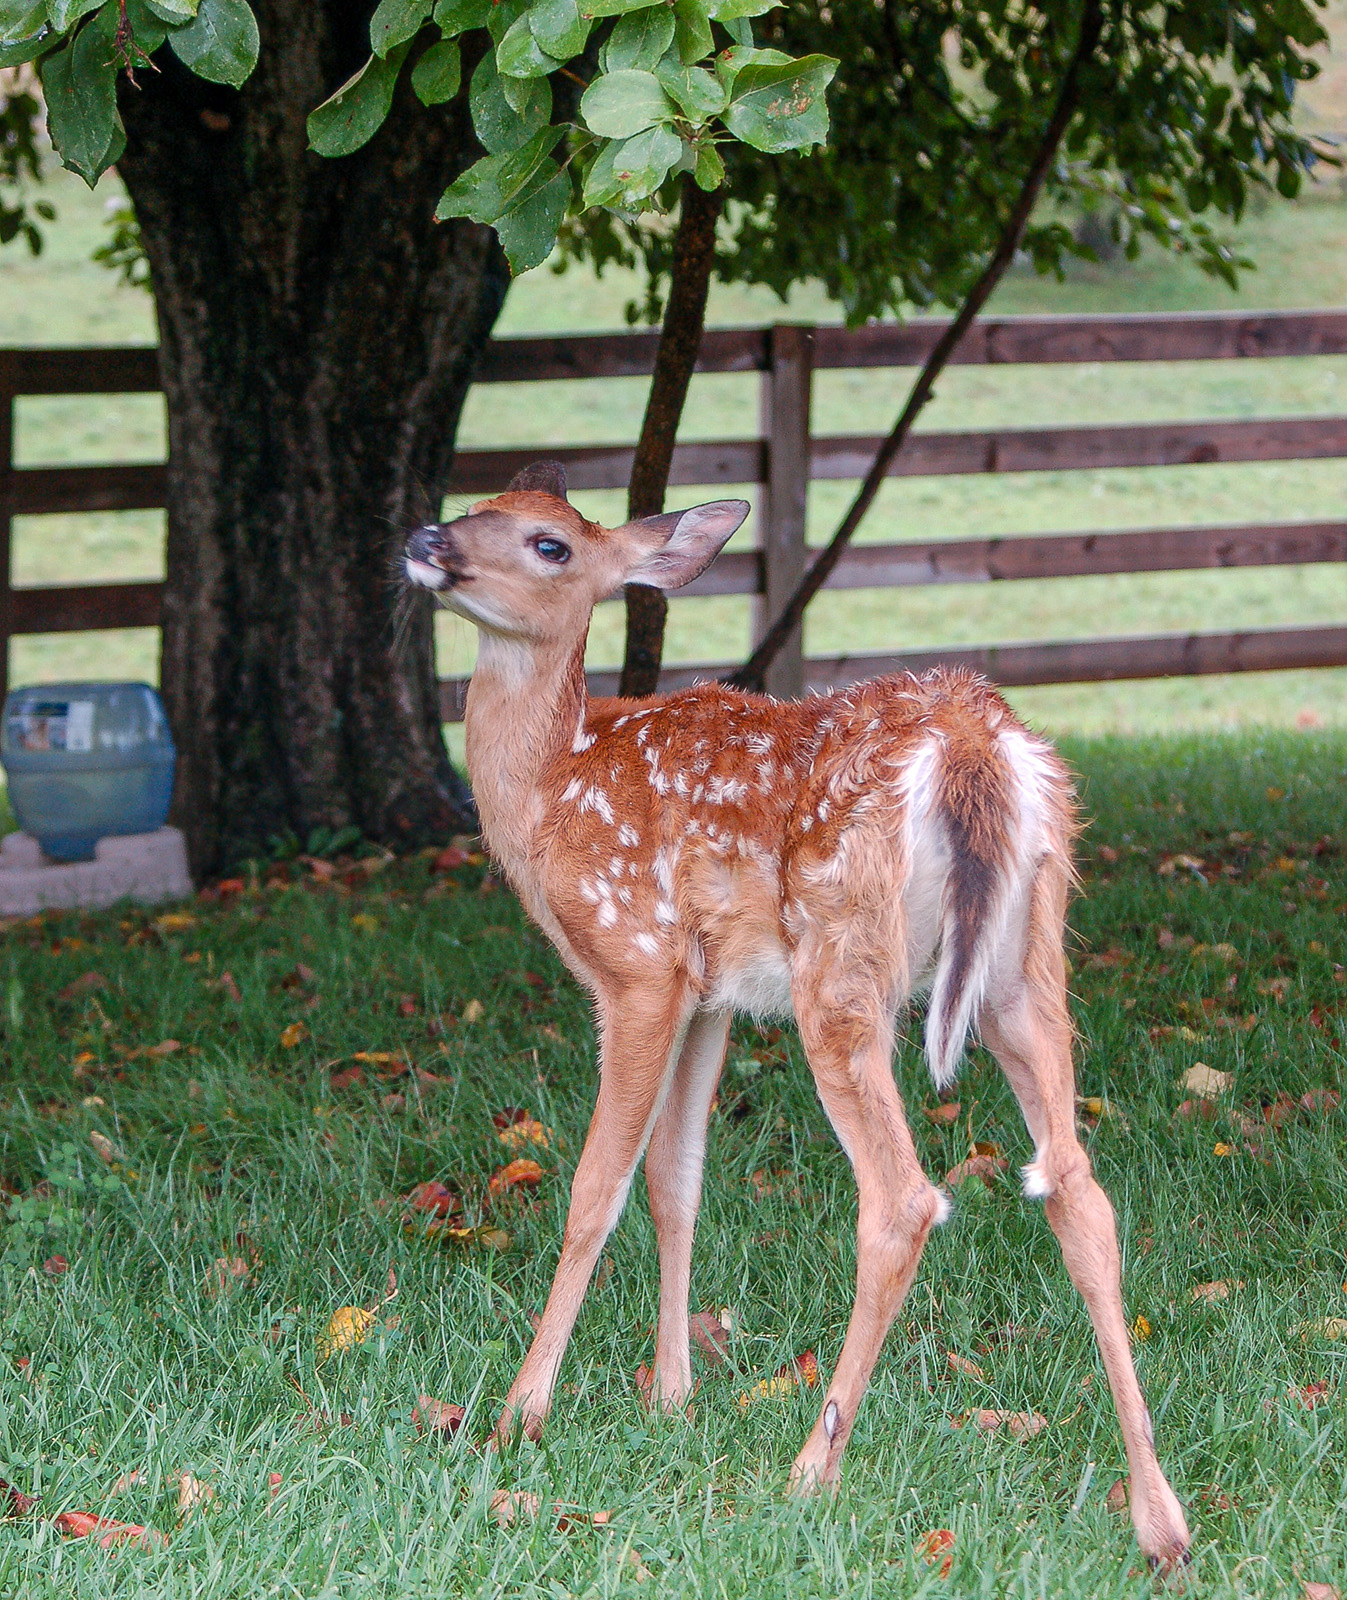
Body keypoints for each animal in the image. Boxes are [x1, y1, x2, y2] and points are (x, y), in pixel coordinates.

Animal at [403, 462, 1191, 1568]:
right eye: (474, 503)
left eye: (548, 543)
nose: (425, 539)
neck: (551, 789)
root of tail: (973, 745)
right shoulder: (710, 994)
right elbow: (677, 1182)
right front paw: (673, 1397)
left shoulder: (638, 963)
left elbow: (596, 1188)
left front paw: (523, 1413)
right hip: (1025, 962)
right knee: (1080, 1190)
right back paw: (1159, 1519)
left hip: (842, 957)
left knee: (902, 1199)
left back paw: (812, 1466)